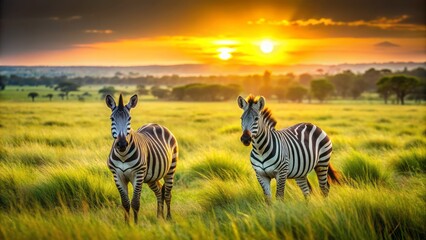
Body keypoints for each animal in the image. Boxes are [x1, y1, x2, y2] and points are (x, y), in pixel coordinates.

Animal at [105, 94, 177, 223]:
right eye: (112, 119)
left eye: (129, 118)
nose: (122, 144)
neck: (123, 155)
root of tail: (156, 124)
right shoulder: (117, 176)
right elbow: (125, 203)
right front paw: (126, 224)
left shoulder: (138, 175)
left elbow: (135, 203)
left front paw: (135, 224)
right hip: (151, 177)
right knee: (159, 191)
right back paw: (159, 217)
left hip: (170, 169)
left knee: (168, 194)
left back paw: (168, 217)